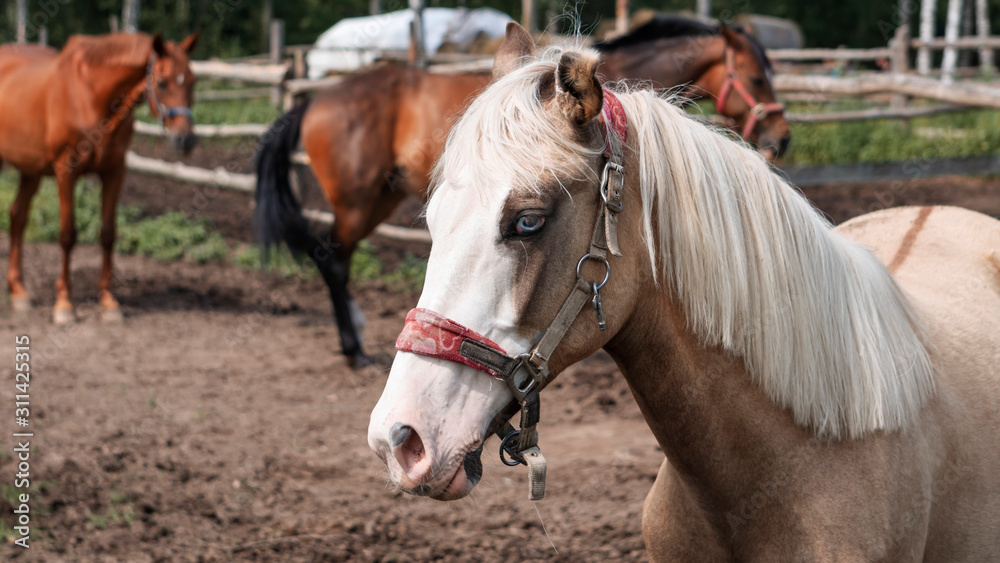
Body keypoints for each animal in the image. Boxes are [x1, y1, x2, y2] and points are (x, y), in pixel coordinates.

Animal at [1, 31, 199, 323]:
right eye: (162, 82)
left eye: (193, 81)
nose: (186, 140)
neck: (91, 97)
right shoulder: (66, 170)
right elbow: (68, 236)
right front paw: (64, 304)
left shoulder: (115, 171)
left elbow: (108, 234)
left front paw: (108, 302)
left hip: (30, 171)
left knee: (17, 218)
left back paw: (18, 291)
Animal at [255, 16, 788, 369]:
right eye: (756, 77)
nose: (781, 138)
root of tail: (314, 98)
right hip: (357, 200)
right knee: (333, 262)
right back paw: (354, 348)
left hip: (380, 197)